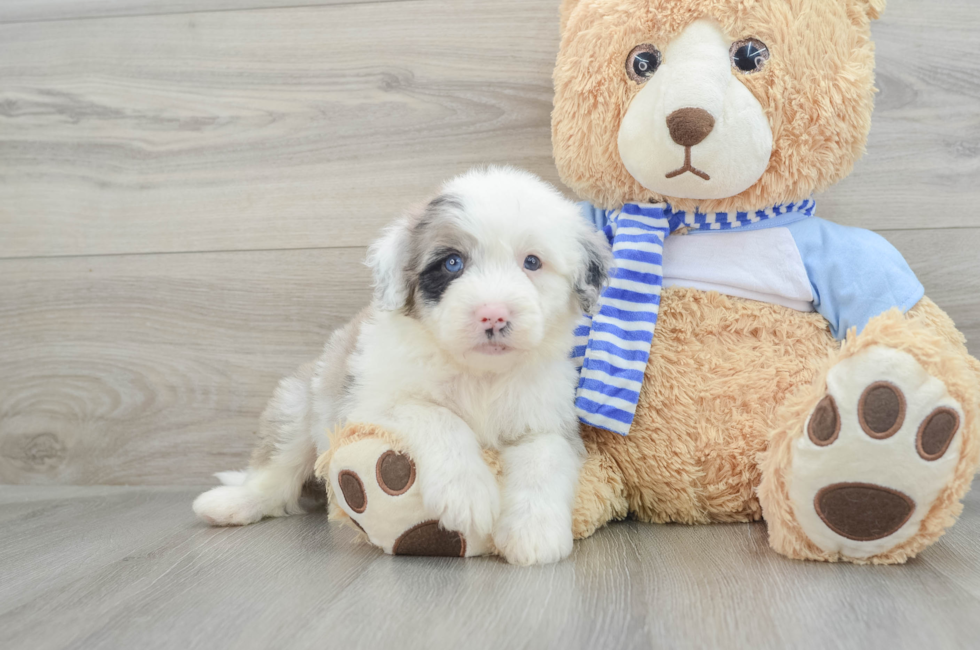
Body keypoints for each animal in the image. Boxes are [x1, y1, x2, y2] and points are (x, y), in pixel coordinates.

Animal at [193, 166, 612, 560]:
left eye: (532, 262)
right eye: (452, 263)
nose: (493, 315)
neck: (481, 377)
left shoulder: (547, 420)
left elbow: (544, 459)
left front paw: (534, 533)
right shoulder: (370, 404)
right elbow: (437, 415)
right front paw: (467, 492)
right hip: (298, 406)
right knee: (273, 472)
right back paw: (231, 503)